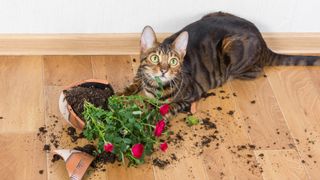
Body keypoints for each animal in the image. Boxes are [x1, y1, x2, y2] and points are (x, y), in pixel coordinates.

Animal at [119, 11, 320, 117]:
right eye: (154, 58)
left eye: (174, 61)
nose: (163, 70)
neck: (154, 87)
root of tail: (263, 42)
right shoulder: (141, 74)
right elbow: (135, 82)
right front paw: (121, 95)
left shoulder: (192, 95)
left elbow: (168, 107)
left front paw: (151, 116)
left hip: (232, 48)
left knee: (256, 70)